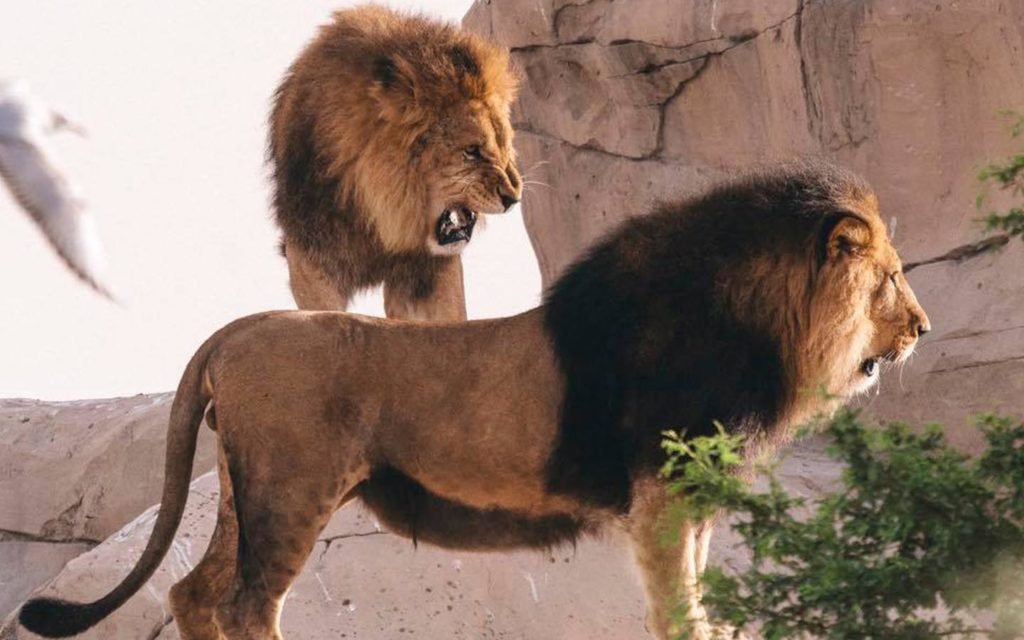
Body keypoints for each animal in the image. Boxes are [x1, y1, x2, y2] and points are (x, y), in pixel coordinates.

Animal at [19, 163, 930, 640]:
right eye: (890, 279)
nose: (922, 328)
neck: (761, 329)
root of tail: (236, 329)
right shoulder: (662, 498)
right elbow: (679, 608)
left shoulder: (692, 499)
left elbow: (697, 601)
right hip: (291, 488)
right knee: (245, 604)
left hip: (249, 492)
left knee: (195, 593)